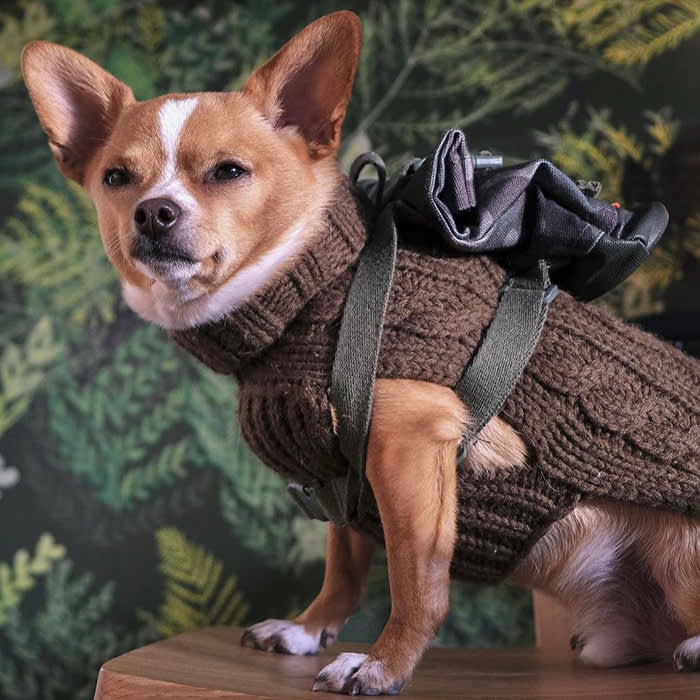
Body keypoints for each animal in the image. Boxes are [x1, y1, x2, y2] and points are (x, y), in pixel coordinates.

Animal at [19, 9, 700, 696]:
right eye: (115, 178)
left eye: (229, 172)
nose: (153, 212)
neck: (314, 290)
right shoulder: (343, 474)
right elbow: (344, 567)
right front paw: (308, 629)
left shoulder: (408, 452)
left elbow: (415, 581)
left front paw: (382, 664)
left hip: (675, 551)